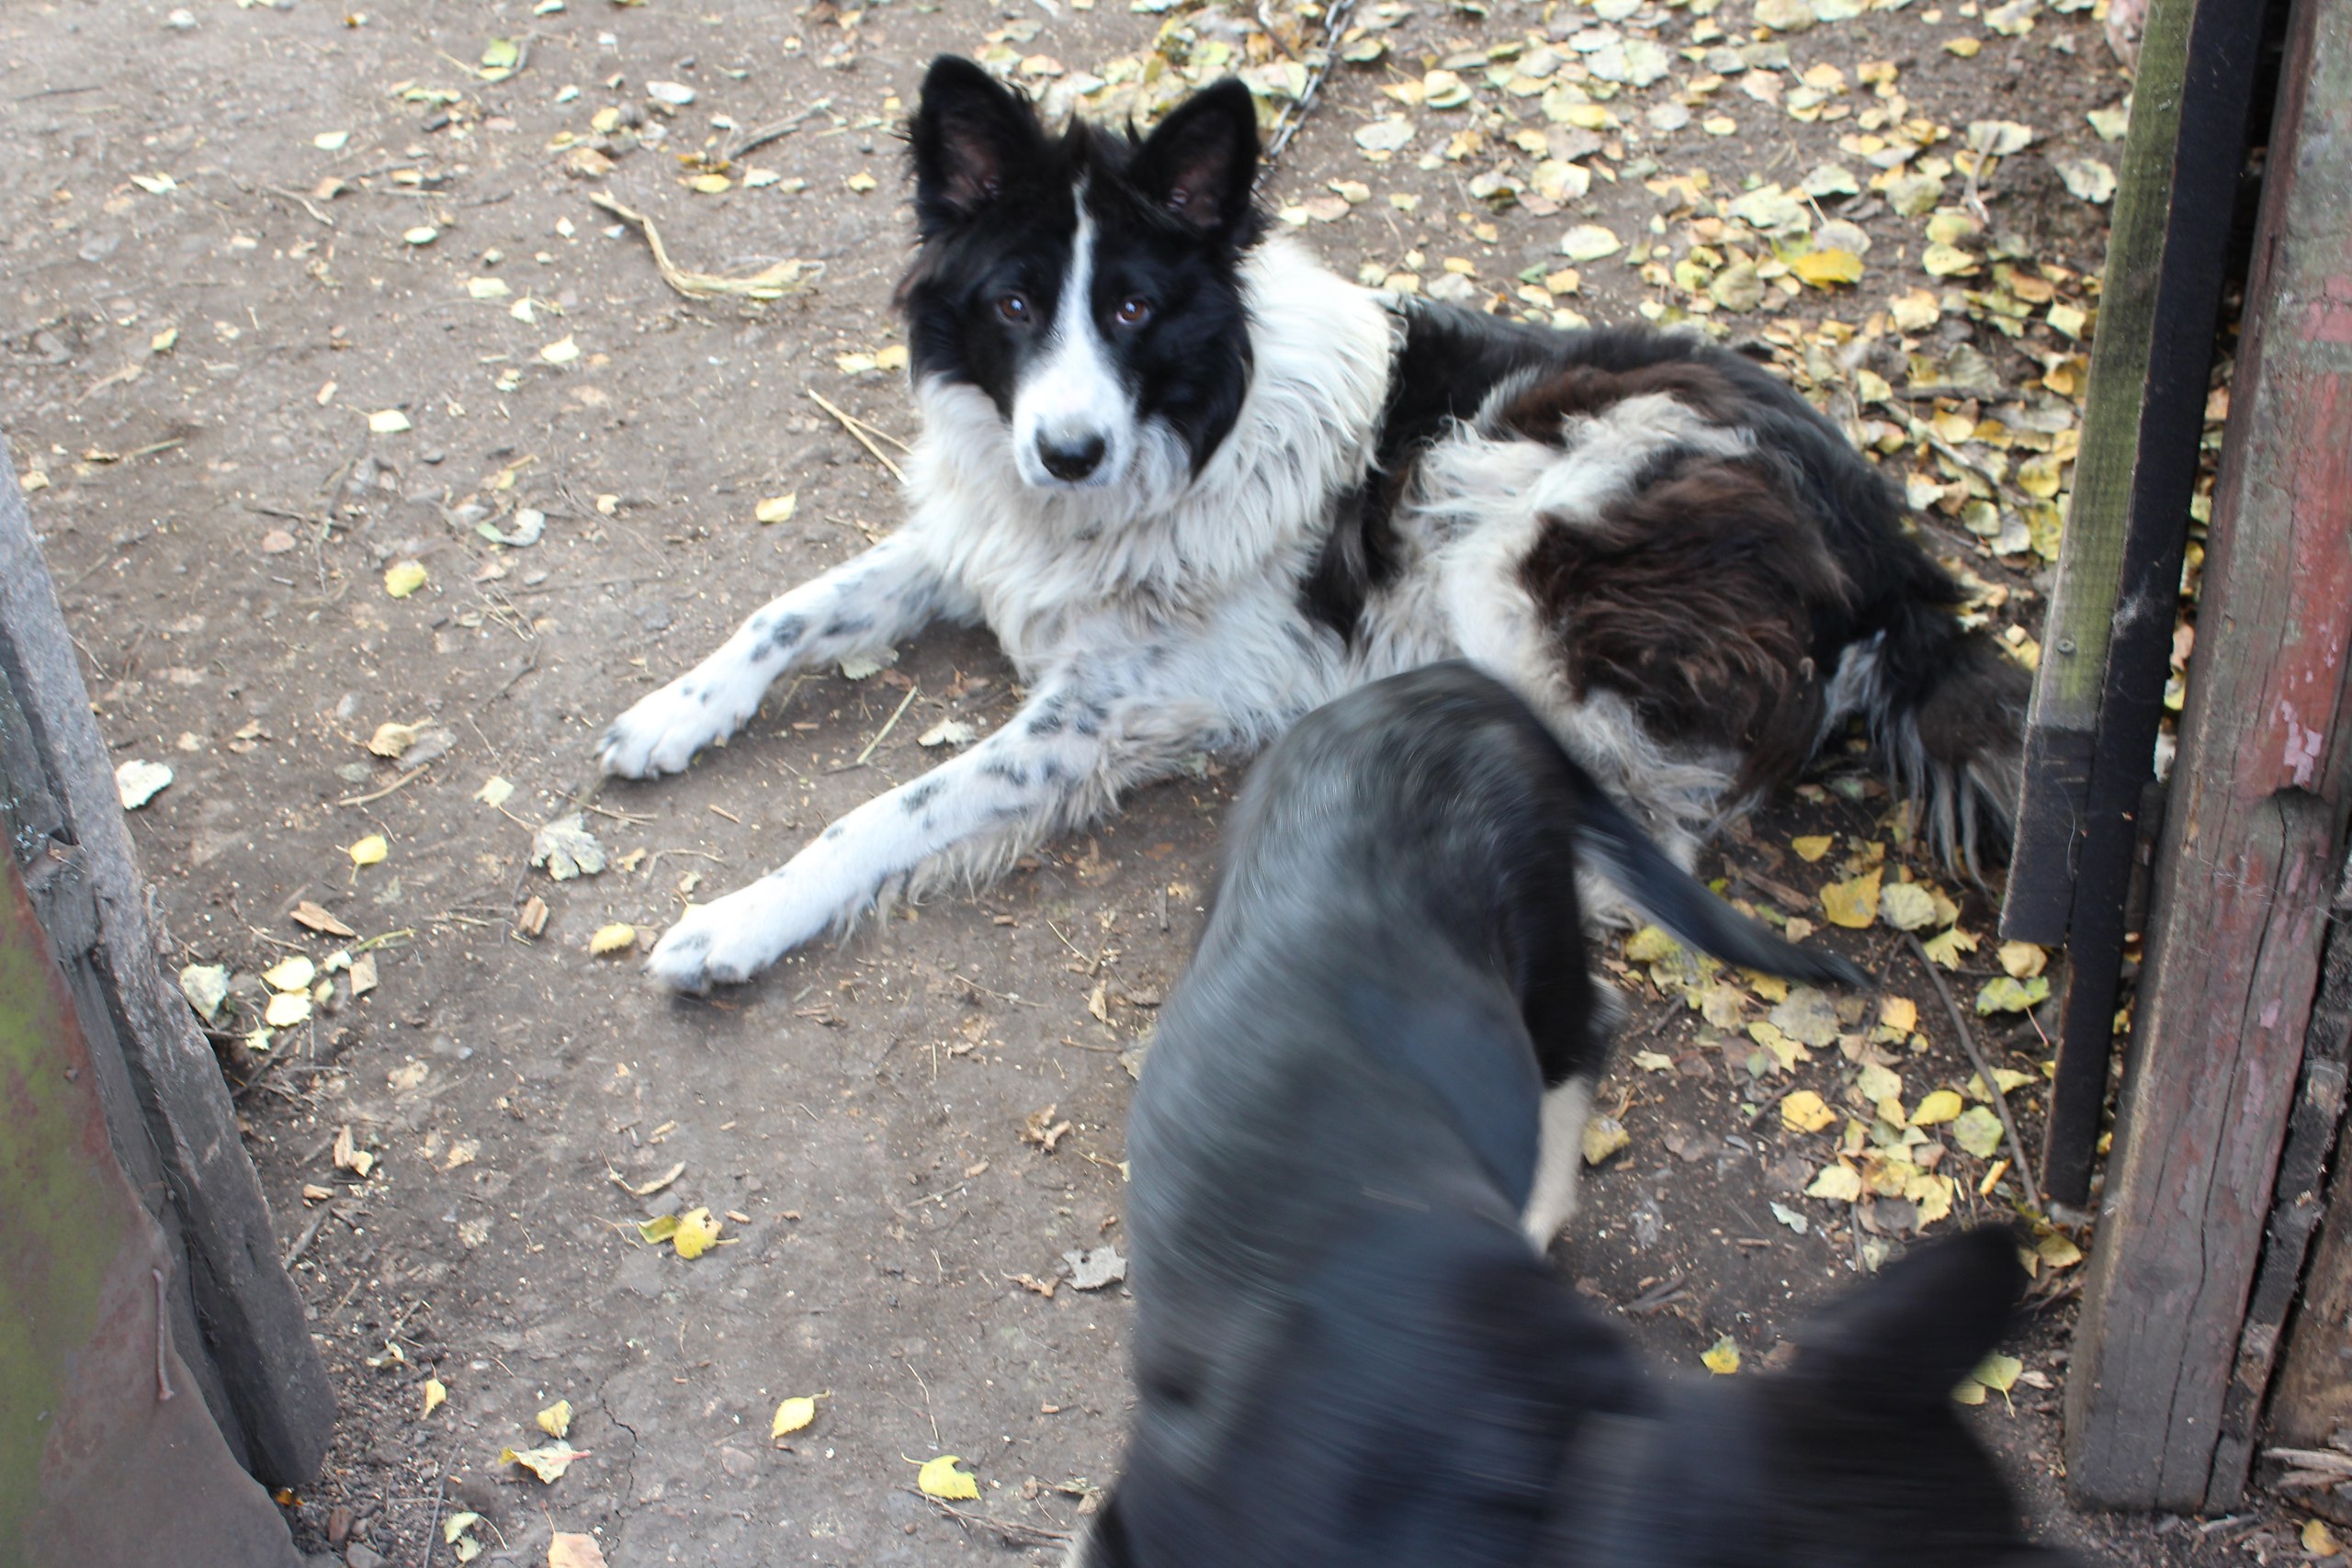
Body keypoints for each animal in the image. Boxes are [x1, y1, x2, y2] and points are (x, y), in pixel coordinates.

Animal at [599, 56, 2028, 992]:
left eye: (1131, 309)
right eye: (1012, 305)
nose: (1068, 451)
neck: (1178, 438)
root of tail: (1901, 558)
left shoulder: (1086, 724)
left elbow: (883, 812)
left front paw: (737, 918)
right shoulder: (985, 534)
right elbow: (787, 611)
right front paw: (671, 712)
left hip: (1515, 528)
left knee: (1643, 826)